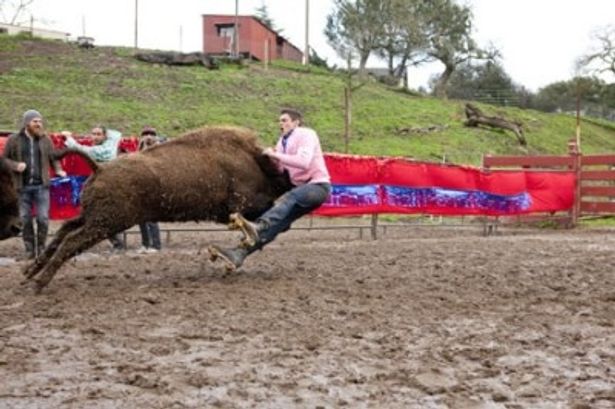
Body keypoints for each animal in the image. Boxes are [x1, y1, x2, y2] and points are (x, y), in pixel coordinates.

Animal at [20, 126, 294, 290]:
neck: (255, 161)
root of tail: (101, 168)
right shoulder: (245, 205)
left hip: (93, 217)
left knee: (64, 231)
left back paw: (30, 272)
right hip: (107, 222)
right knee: (71, 240)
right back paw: (39, 282)